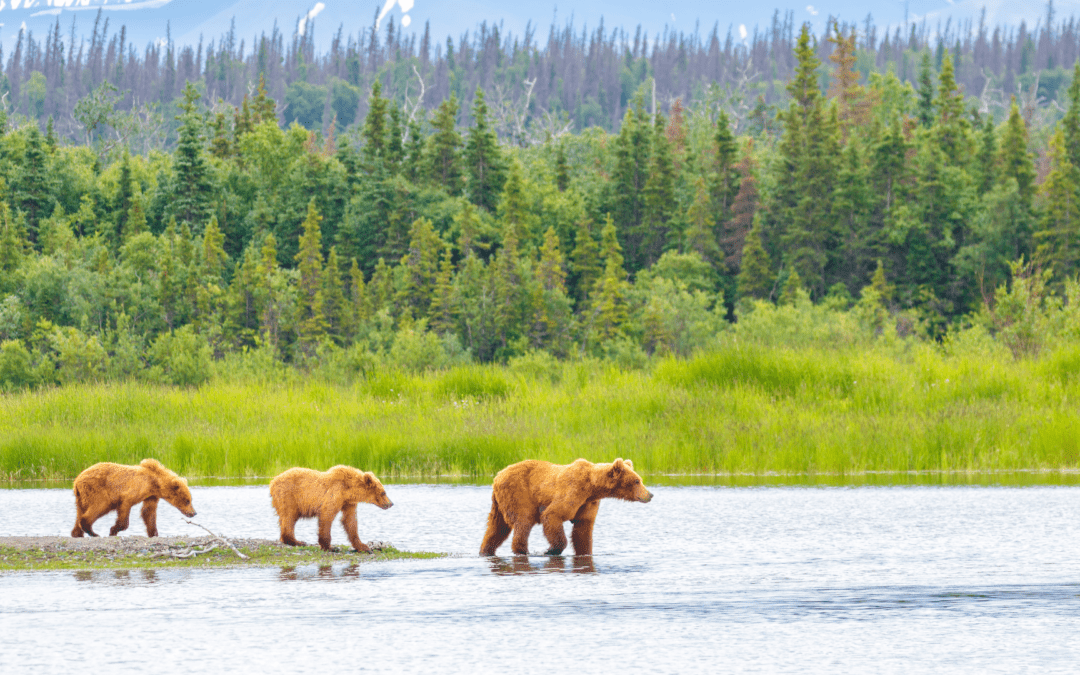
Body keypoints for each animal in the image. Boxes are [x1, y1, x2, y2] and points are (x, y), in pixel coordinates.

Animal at [479, 457, 652, 557]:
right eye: (636, 481)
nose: (650, 495)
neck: (592, 487)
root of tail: (497, 475)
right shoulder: (573, 491)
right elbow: (553, 515)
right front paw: (551, 550)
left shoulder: (587, 503)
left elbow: (583, 530)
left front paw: (585, 552)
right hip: (518, 493)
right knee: (523, 521)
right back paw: (522, 551)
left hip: (499, 502)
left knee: (496, 527)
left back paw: (486, 551)